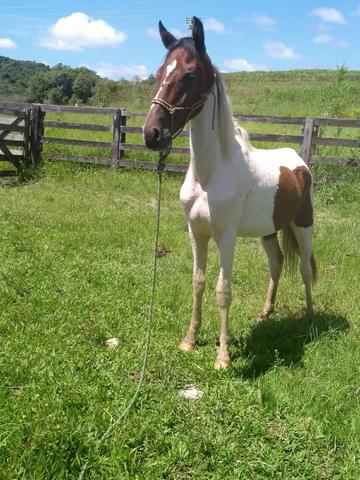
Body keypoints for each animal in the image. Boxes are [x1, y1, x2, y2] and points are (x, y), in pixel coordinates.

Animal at [142, 16, 316, 370]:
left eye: (189, 74)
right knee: (277, 263)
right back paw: (265, 313)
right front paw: (189, 341)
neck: (210, 174)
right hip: (269, 231)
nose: (152, 134)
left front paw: (223, 357)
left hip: (303, 226)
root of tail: (299, 164)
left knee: (305, 269)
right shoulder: (197, 233)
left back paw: (307, 317)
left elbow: (223, 291)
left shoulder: (227, 237)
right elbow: (197, 282)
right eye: (159, 72)